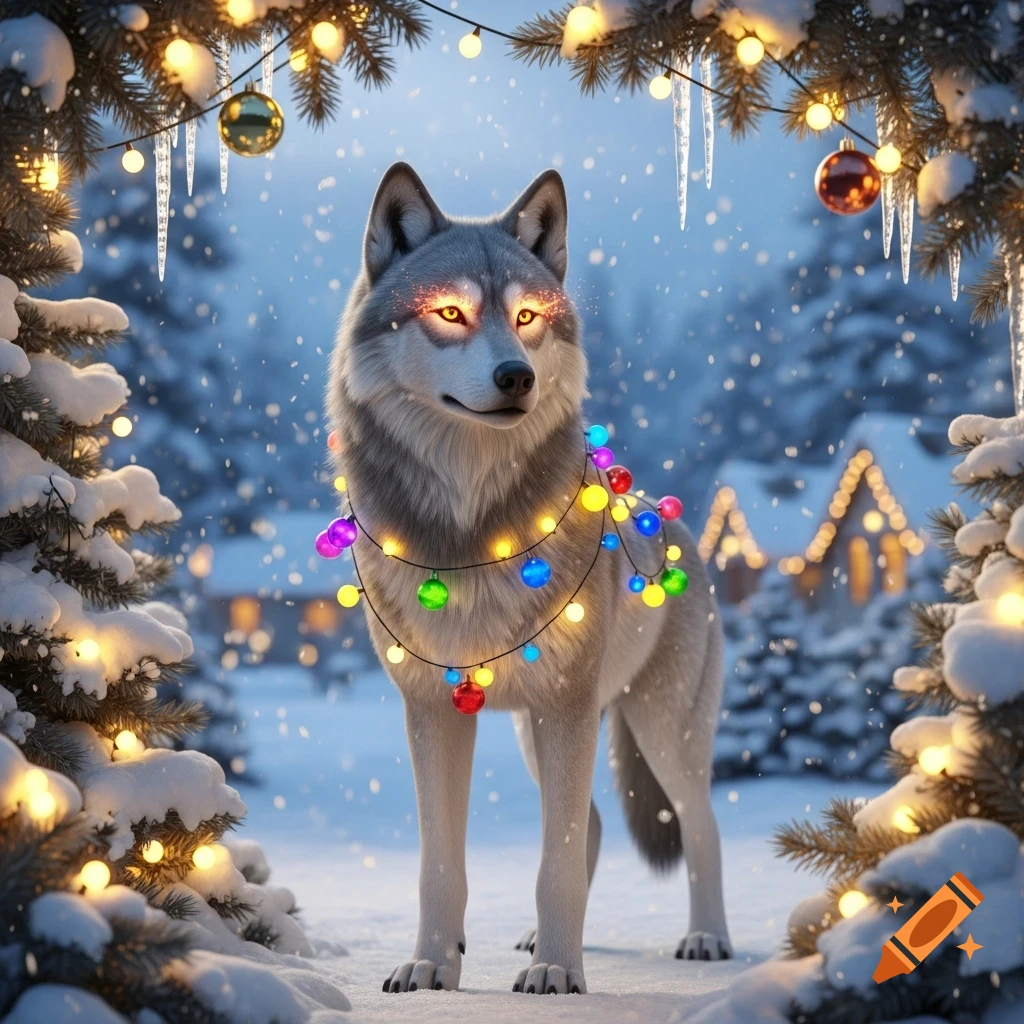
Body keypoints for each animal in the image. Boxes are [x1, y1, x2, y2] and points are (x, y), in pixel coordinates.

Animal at [327, 163, 732, 996]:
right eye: (450, 312)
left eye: (527, 316)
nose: (515, 375)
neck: (470, 542)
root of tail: (672, 517)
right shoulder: (434, 709)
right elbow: (441, 864)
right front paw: (430, 966)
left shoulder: (565, 709)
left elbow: (556, 866)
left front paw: (557, 972)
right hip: (533, 731)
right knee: (597, 823)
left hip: (658, 731)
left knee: (700, 826)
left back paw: (706, 939)